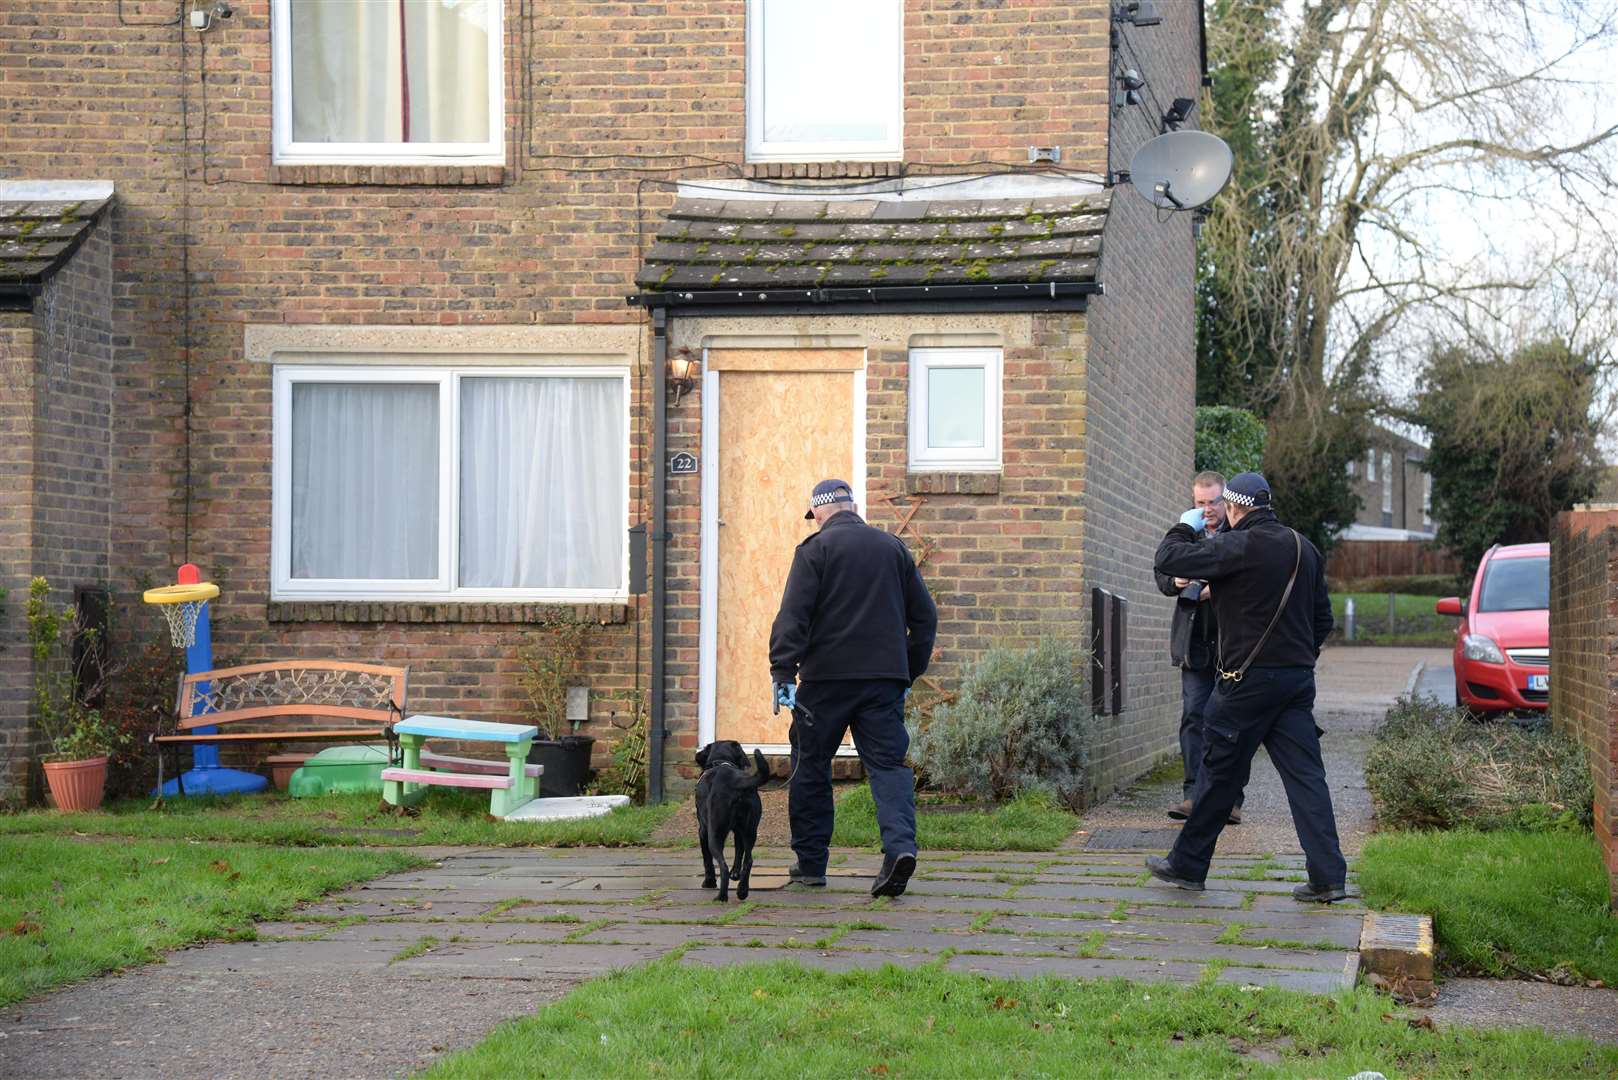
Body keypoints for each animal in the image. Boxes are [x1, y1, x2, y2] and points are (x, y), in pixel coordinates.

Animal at [695, 744, 770, 906]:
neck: (722, 761)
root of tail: (735, 781)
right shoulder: (738, 831)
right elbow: (739, 852)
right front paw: (735, 874)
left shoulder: (703, 831)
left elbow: (707, 859)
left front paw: (709, 882)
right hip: (750, 830)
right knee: (748, 860)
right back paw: (742, 891)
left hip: (714, 834)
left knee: (722, 865)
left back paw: (721, 897)